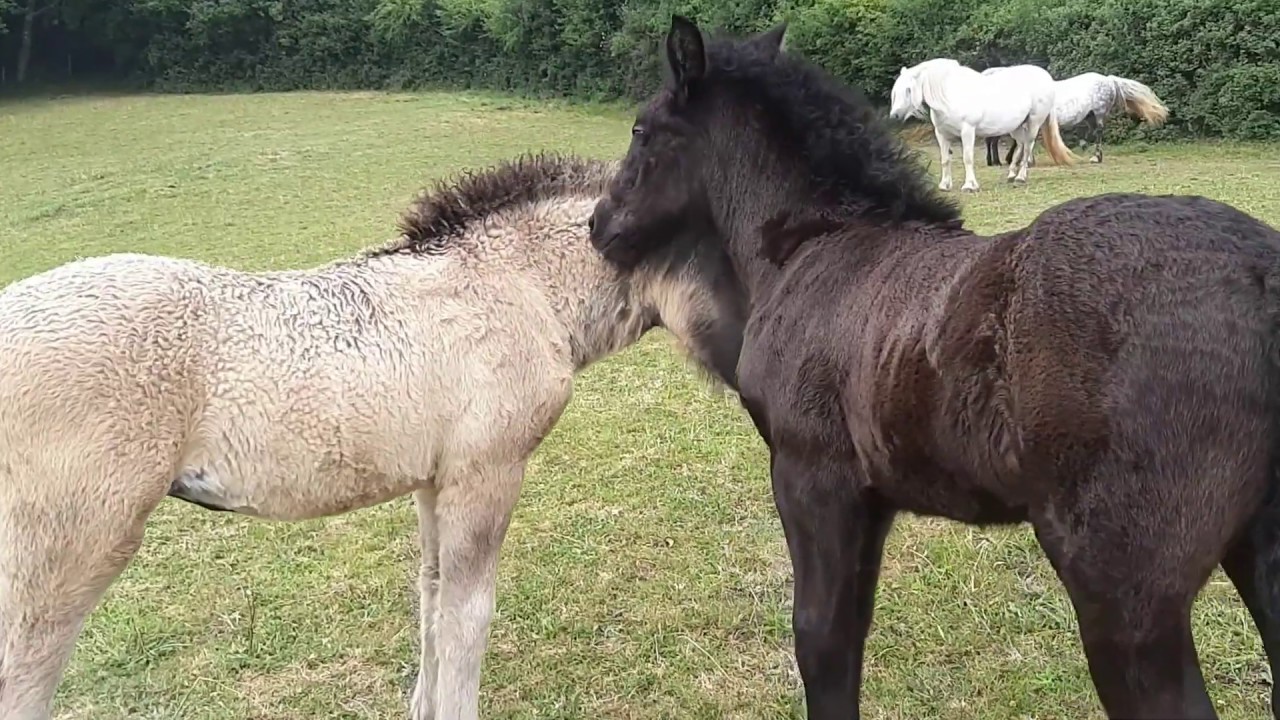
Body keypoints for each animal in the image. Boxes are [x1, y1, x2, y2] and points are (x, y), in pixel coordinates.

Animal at [0, 152, 746, 720]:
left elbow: (432, 595)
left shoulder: (434, 479)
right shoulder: (487, 472)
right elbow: (470, 613)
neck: (519, 288)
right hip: (65, 553)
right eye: (729, 251)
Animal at [889, 58, 1076, 193]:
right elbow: (945, 160)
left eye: (908, 90)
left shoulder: (968, 131)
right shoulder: (942, 134)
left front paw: (970, 186)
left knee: (1028, 148)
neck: (950, 95)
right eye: (895, 91)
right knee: (1021, 146)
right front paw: (944, 185)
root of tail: (1046, 77)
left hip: (1033, 123)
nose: (895, 116)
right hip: (1016, 127)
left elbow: (967, 158)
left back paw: (1020, 177)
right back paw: (1011, 174)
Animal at [987, 71, 1169, 165]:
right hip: (1089, 116)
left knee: (1099, 133)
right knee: (1092, 132)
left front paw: (1026, 161)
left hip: (1099, 113)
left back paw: (1095, 157)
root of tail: (1108, 80)